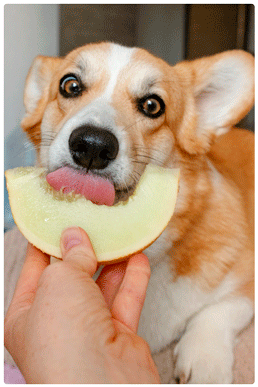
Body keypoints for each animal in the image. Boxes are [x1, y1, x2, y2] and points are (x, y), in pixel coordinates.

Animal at [20, 43, 254, 384]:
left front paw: (206, 362)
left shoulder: (245, 280)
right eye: (70, 85)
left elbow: (218, 311)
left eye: (152, 105)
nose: (92, 145)